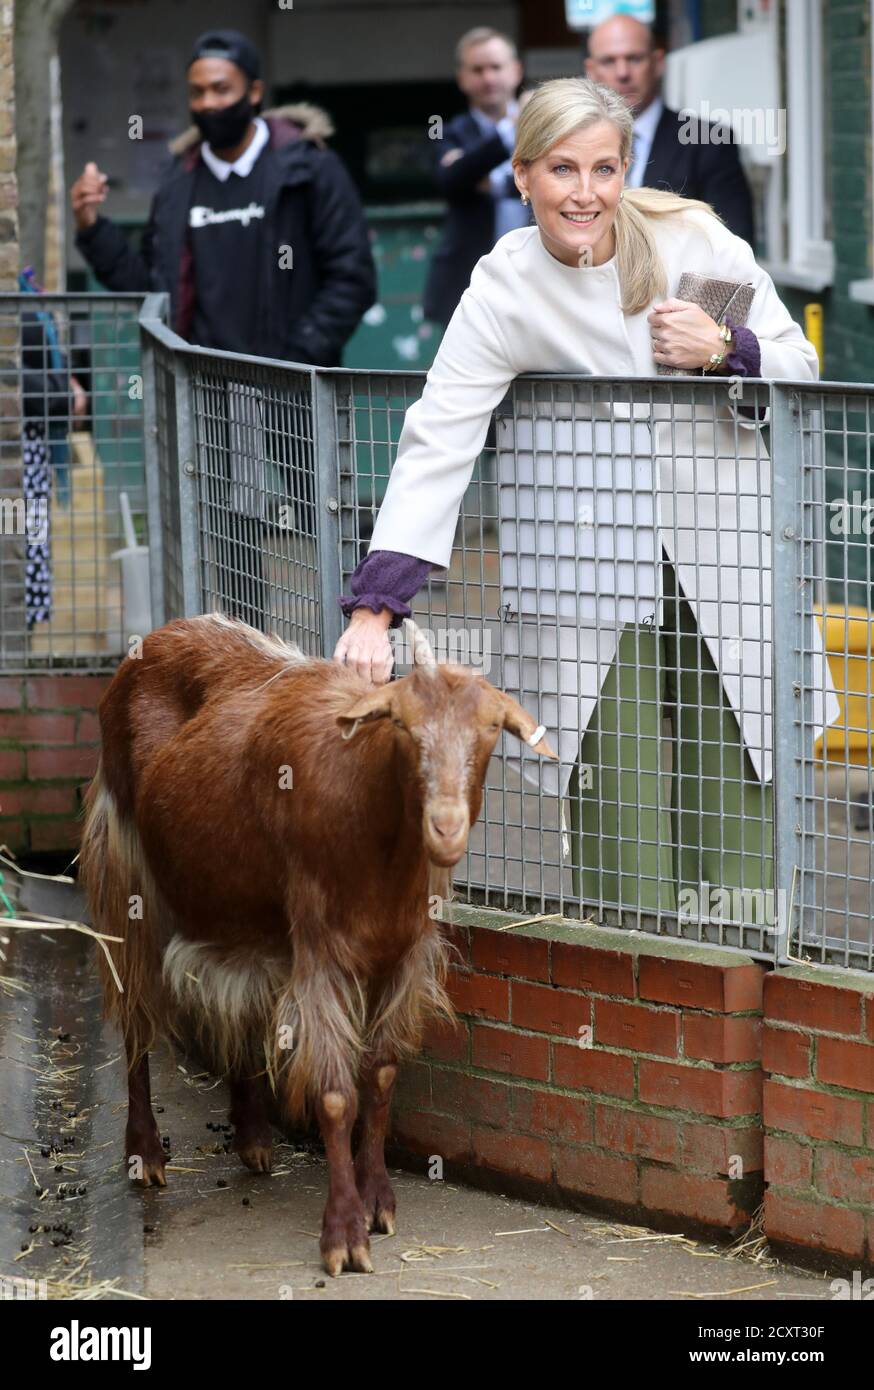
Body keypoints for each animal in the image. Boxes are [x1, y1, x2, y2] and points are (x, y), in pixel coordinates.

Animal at [78, 614, 555, 1273]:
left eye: (489, 729)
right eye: (402, 726)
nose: (446, 827)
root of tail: (162, 635)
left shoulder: (403, 955)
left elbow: (380, 1078)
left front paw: (379, 1200)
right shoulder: (323, 954)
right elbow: (334, 1097)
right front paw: (344, 1235)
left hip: (227, 900)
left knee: (230, 1000)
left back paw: (253, 1136)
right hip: (126, 870)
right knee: (134, 1015)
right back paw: (145, 1153)